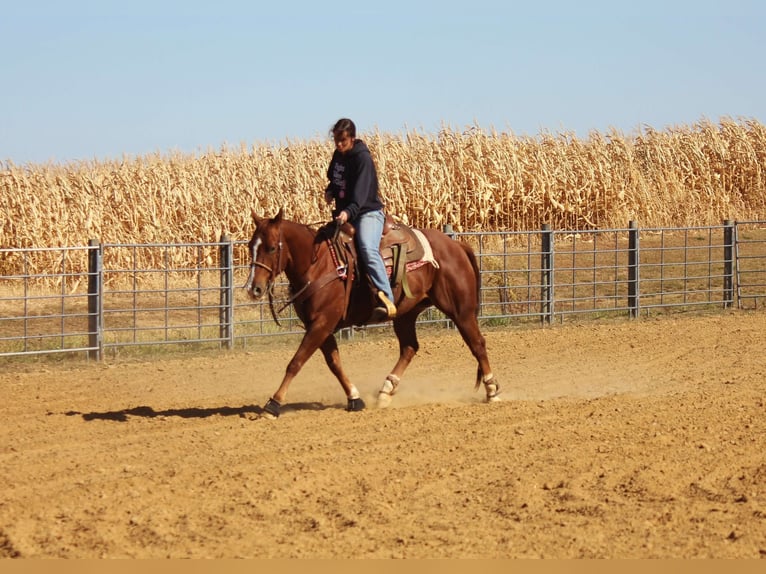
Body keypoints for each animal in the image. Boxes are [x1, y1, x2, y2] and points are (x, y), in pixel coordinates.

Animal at [243, 209, 500, 420]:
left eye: (271, 247)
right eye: (250, 246)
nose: (254, 288)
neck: (319, 264)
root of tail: (456, 246)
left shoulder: (322, 323)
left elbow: (295, 362)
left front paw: (273, 404)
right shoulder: (318, 325)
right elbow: (334, 363)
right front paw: (355, 398)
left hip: (461, 310)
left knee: (477, 343)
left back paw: (492, 390)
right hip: (405, 314)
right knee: (409, 347)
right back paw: (386, 391)